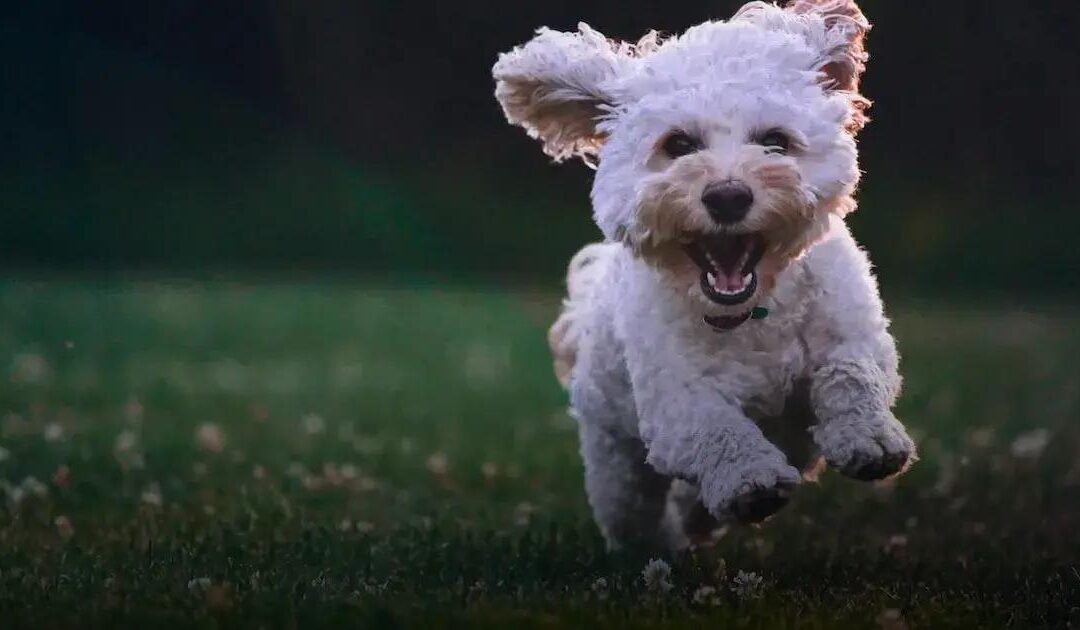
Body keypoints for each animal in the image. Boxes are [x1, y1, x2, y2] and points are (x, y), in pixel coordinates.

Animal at [494, 0, 915, 548]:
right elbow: (716, 429)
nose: (728, 196)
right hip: (616, 460)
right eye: (678, 144)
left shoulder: (853, 333)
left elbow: (853, 375)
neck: (753, 312)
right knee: (635, 512)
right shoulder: (676, 400)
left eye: (775, 141)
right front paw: (750, 480)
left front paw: (870, 439)